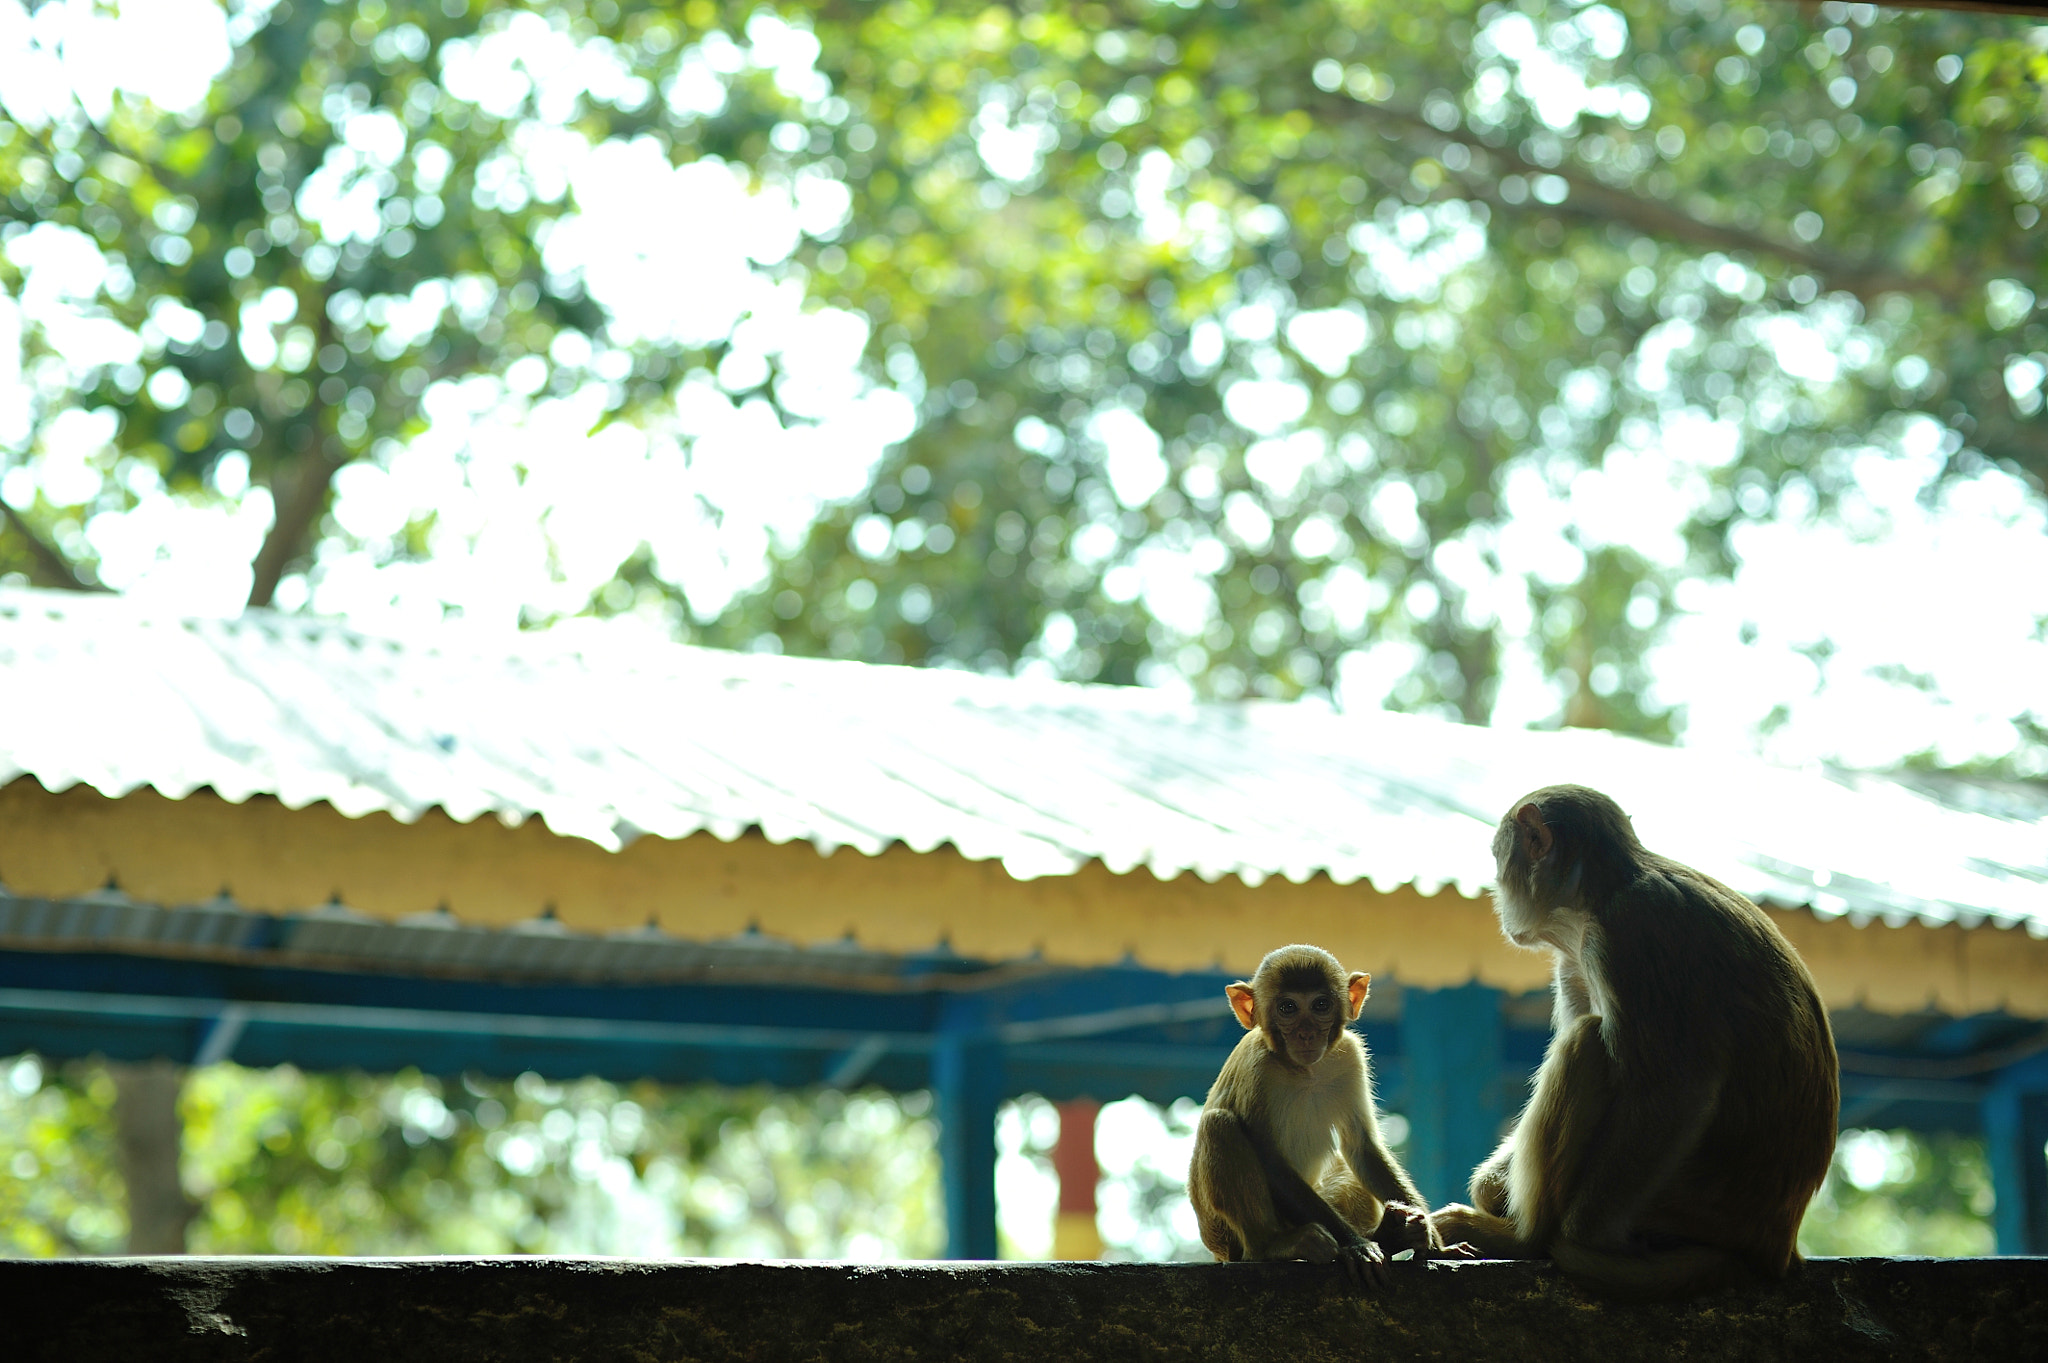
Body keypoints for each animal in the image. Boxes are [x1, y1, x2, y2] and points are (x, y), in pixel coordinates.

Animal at [1187, 941, 1458, 1277]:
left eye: (1320, 1005)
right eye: (1288, 1008)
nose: (1306, 1034)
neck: (1305, 1071)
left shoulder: (1350, 1057)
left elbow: (1361, 1146)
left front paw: (1432, 1240)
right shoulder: (1257, 1068)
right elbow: (1269, 1159)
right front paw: (1357, 1244)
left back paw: (1391, 1235)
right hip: (1223, 1234)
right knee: (1219, 1125)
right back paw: (1273, 1246)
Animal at [1433, 781, 1851, 1293]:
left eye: (1497, 858)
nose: (1496, 896)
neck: (1598, 896)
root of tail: (1775, 1245)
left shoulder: (1626, 935)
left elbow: (1673, 1091)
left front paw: (1579, 1237)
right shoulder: (1574, 963)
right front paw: (1493, 1184)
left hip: (1684, 1201)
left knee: (1587, 1043)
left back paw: (1524, 1240)